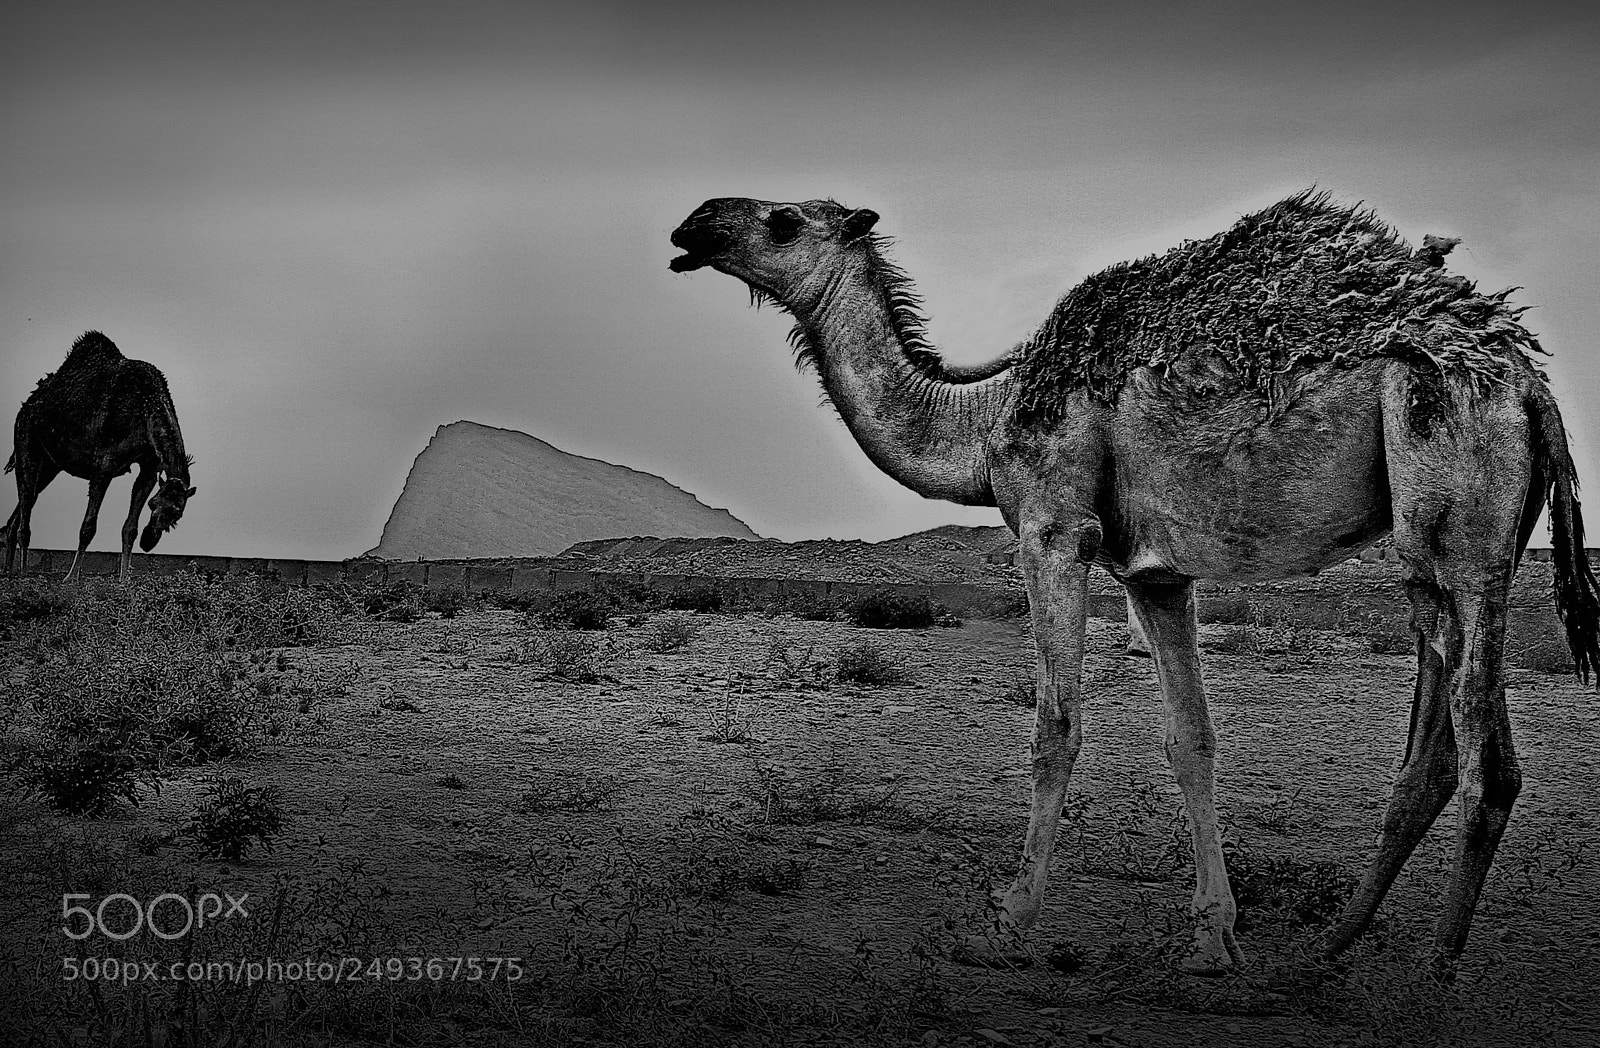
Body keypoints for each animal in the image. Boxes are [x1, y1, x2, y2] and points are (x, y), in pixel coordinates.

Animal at [5, 331, 196, 580]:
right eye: (153, 504)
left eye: (176, 513)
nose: (149, 541)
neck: (145, 409)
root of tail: (26, 406)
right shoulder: (104, 466)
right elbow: (88, 528)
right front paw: (70, 578)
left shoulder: (149, 468)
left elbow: (129, 529)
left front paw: (124, 580)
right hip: (26, 442)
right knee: (26, 509)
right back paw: (22, 574)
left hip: (50, 465)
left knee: (17, 515)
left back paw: (9, 573)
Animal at [669, 190, 1600, 977]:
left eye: (783, 220)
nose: (694, 225)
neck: (983, 423)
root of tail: (1529, 383)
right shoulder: (1155, 572)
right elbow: (1192, 740)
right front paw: (1213, 942)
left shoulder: (1053, 530)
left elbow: (1056, 728)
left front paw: (1007, 921)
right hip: (1452, 546)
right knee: (1435, 743)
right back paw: (1331, 945)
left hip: (1450, 508)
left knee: (1489, 756)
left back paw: (1433, 973)